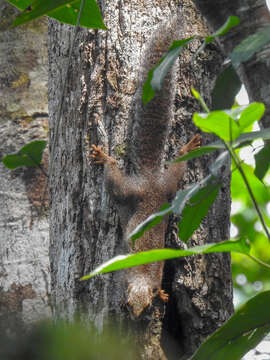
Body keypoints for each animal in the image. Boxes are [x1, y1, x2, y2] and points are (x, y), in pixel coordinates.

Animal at [90, 14, 200, 318]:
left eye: (147, 302)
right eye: (129, 302)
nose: (137, 315)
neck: (139, 277)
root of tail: (150, 180)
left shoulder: (156, 270)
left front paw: (163, 293)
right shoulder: (122, 272)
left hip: (162, 187)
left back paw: (186, 149)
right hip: (133, 190)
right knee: (115, 178)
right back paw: (106, 158)